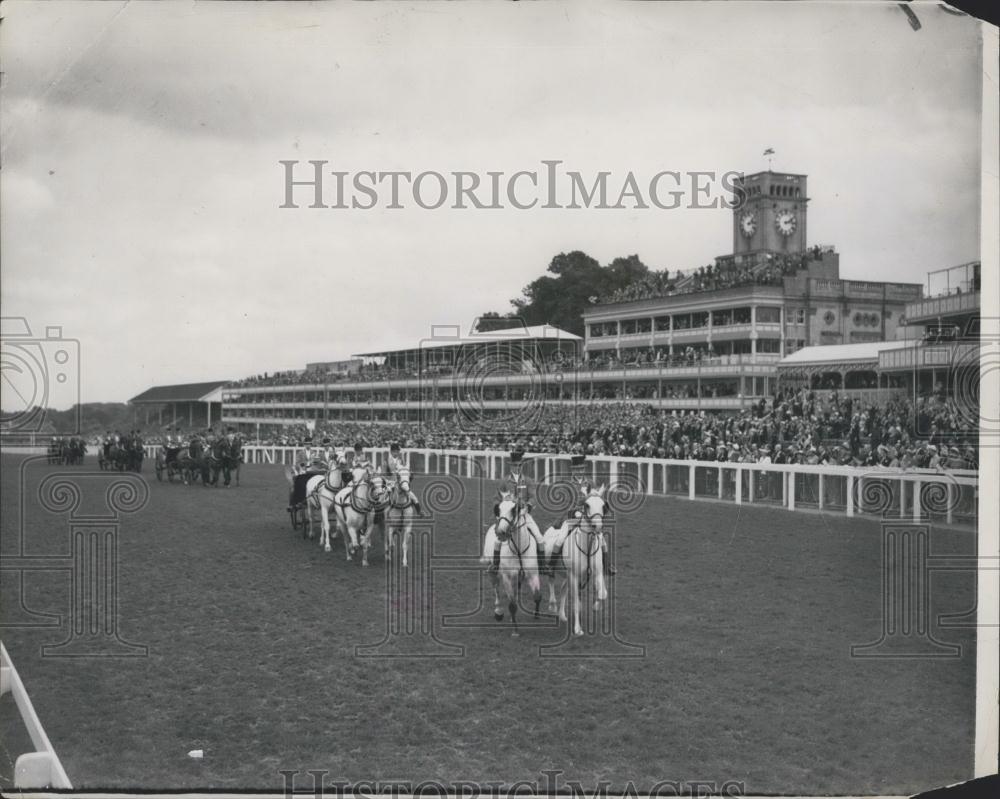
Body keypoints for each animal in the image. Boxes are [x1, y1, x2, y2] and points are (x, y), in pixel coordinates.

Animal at [480, 490, 544, 636]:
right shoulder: (507, 577)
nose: (500, 532)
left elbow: (537, 596)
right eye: (498, 509)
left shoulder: (532, 574)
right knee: (496, 588)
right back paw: (498, 612)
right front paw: (515, 631)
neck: (518, 550)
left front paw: (536, 615)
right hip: (493, 571)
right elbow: (512, 605)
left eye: (514, 510)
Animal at [544, 488, 612, 636]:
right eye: (587, 505)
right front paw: (577, 629)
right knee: (551, 580)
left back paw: (562, 615)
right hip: (555, 568)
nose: (597, 526)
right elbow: (576, 603)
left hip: (567, 576)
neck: (586, 546)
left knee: (563, 589)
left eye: (603, 505)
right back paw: (552, 605)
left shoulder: (597, 574)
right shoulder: (574, 576)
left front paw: (596, 606)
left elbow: (603, 594)